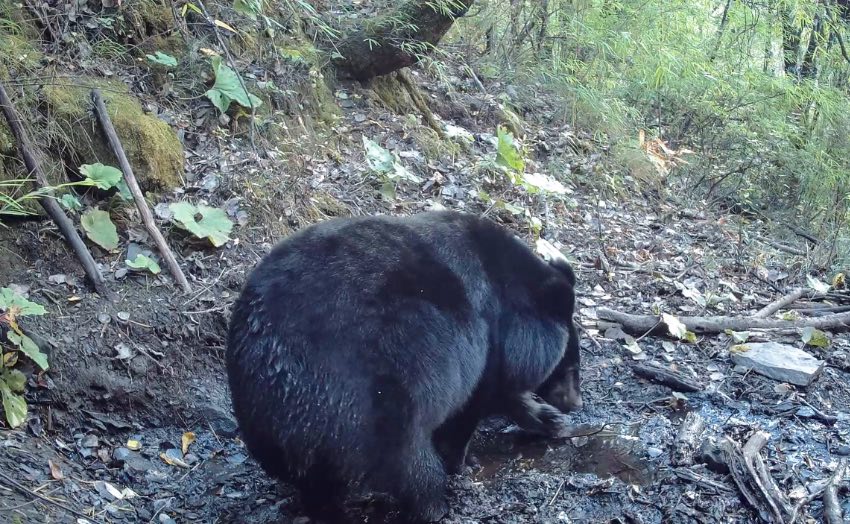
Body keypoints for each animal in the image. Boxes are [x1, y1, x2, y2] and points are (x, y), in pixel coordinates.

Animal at [225, 211, 580, 520]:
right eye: (570, 365)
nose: (575, 402)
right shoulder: (483, 342)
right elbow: (473, 405)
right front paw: (462, 462)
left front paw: (549, 419)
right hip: (377, 398)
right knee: (408, 459)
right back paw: (434, 503)